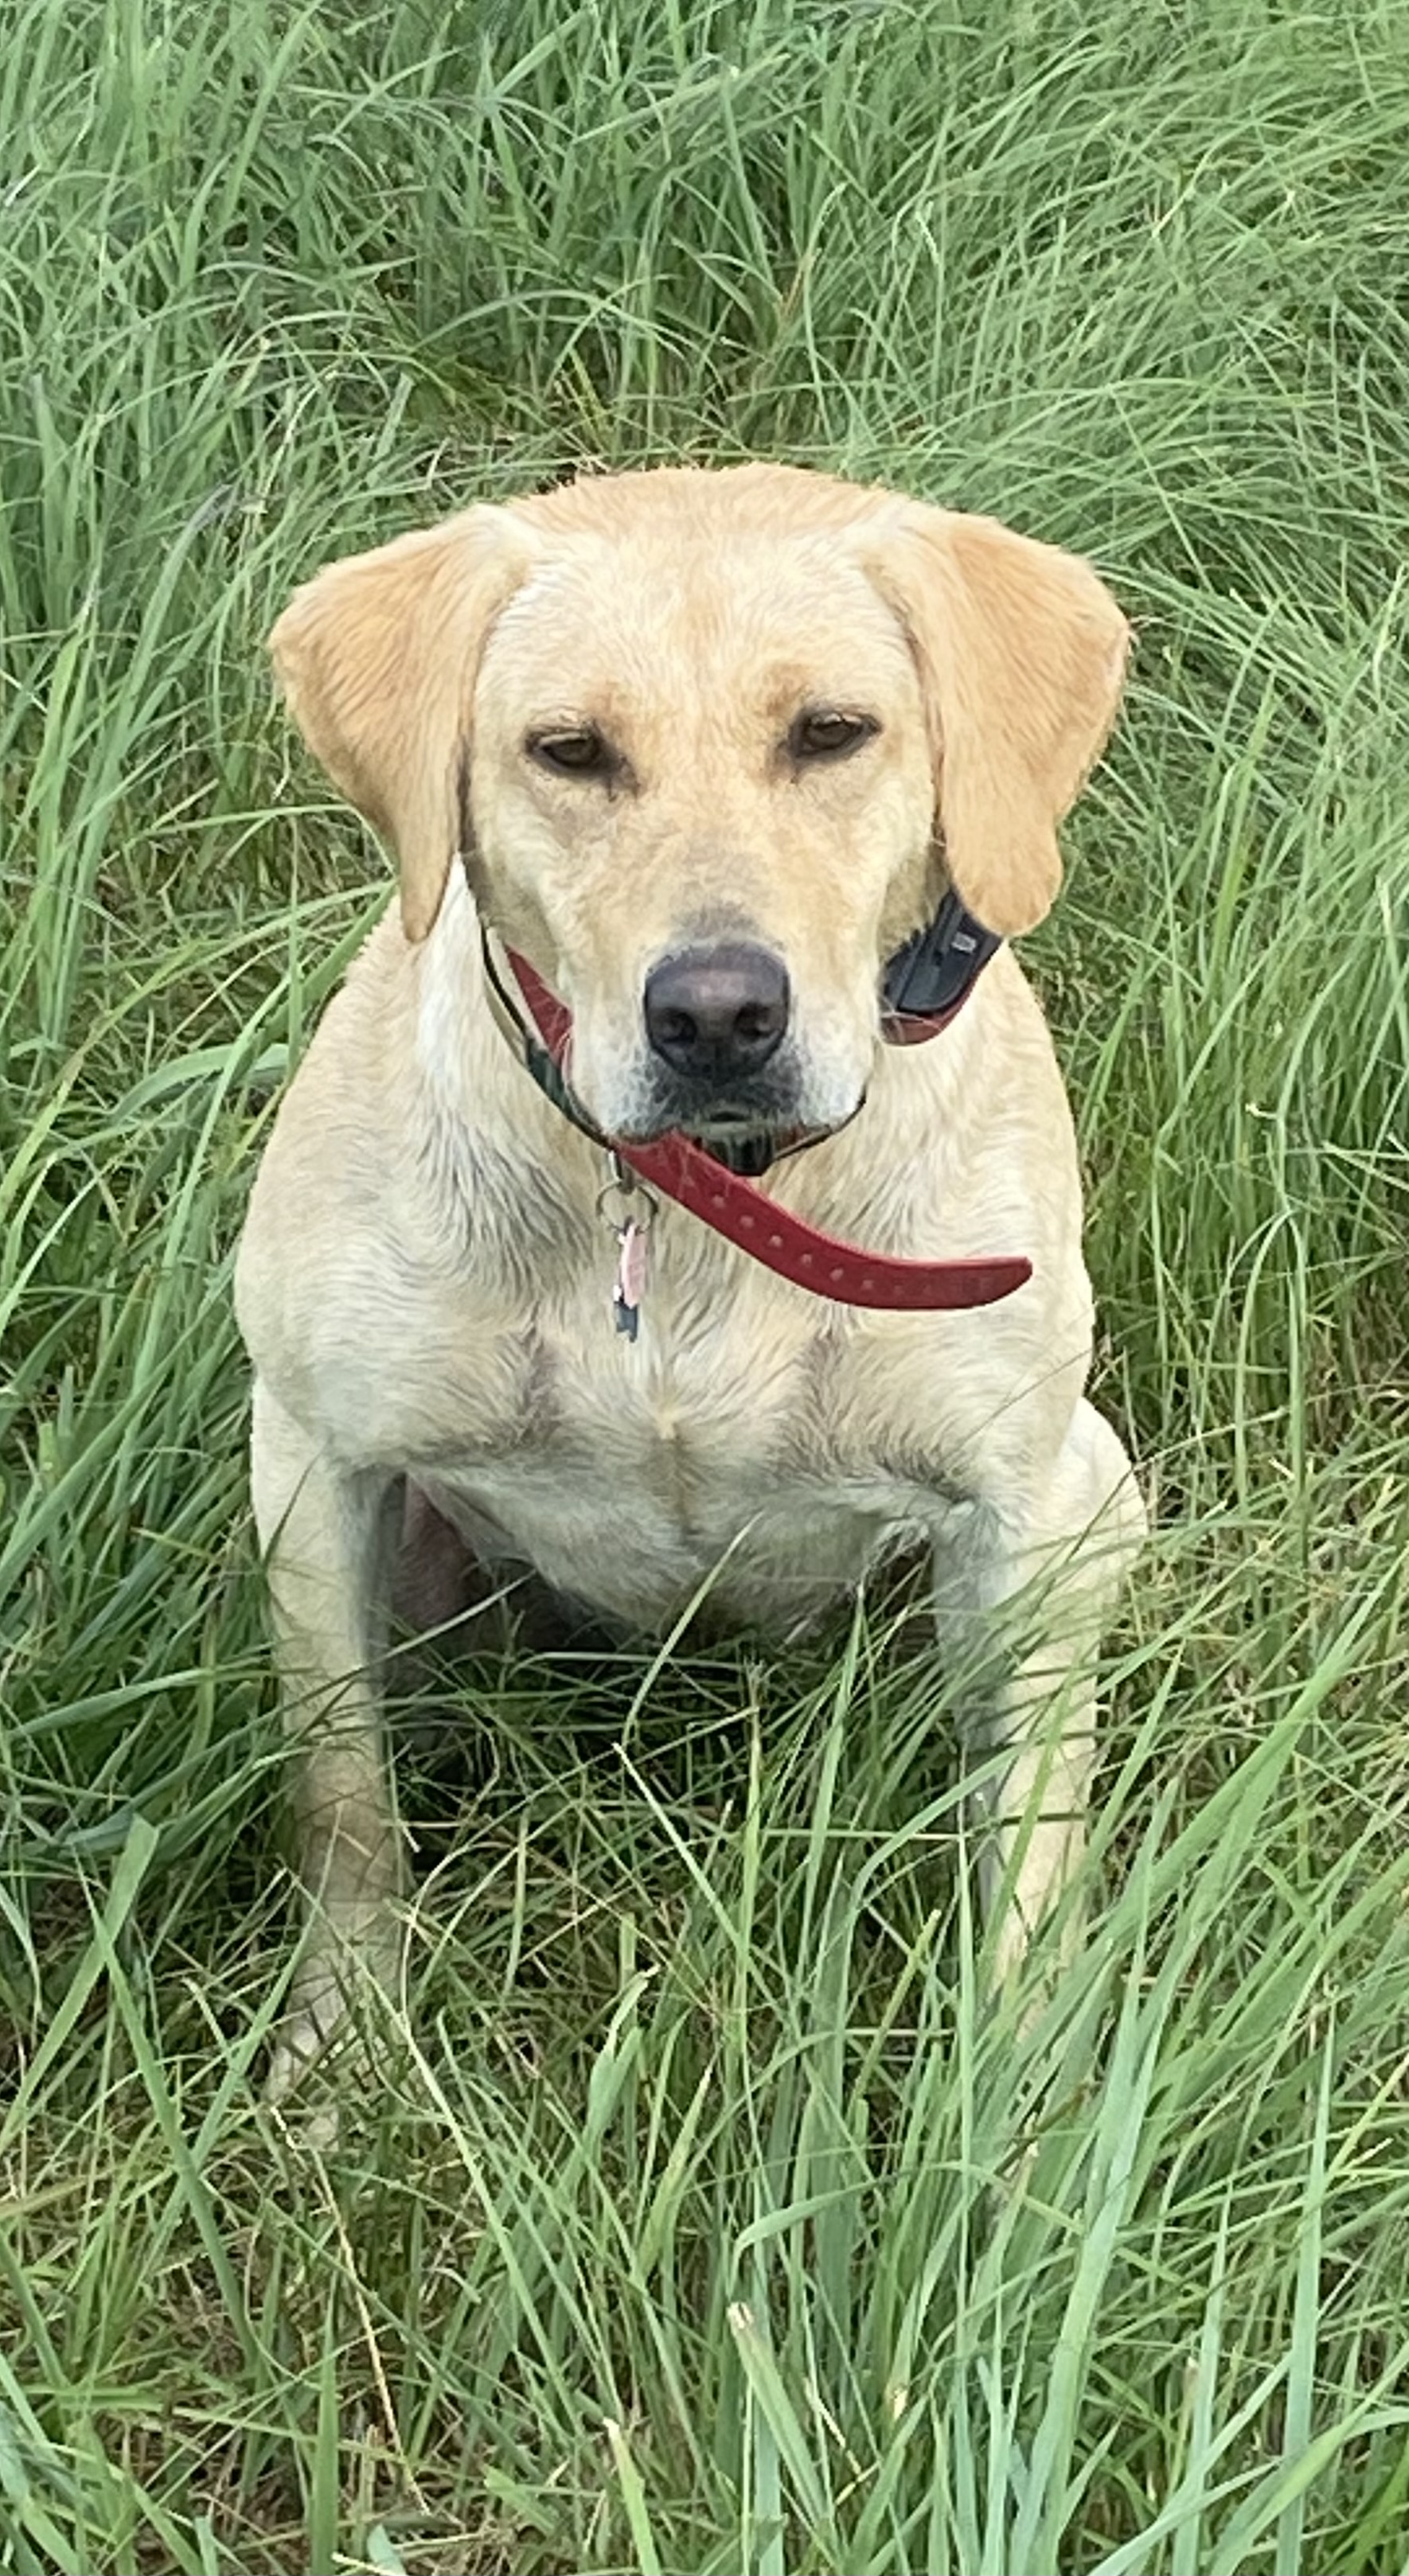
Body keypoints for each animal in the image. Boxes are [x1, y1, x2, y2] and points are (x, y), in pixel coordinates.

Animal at [236, 463, 1149, 2091]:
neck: (708, 1204)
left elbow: (1028, 1854)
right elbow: (341, 1794)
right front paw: (341, 2054)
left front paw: (1018, 2099)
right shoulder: (315, 1462)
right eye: (570, 752)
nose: (718, 1015)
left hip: (1099, 1492)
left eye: (833, 732)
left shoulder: (1022, 1513)